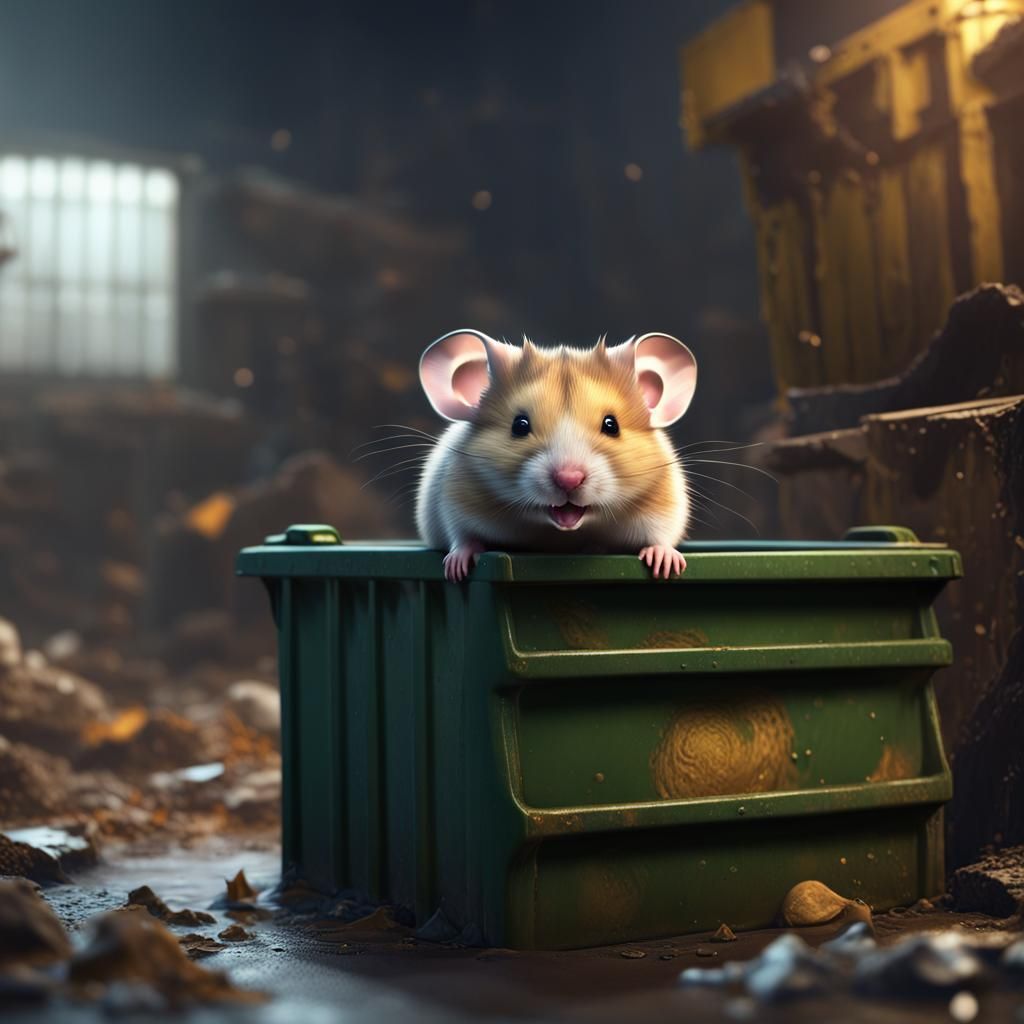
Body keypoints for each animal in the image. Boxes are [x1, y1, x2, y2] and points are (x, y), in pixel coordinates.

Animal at [415, 329, 697, 582]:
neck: (563, 532)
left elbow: (661, 536)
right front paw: (456, 568)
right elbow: (462, 536)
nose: (568, 479)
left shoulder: (666, 505)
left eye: (611, 425)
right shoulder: (453, 500)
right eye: (519, 425)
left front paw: (666, 564)